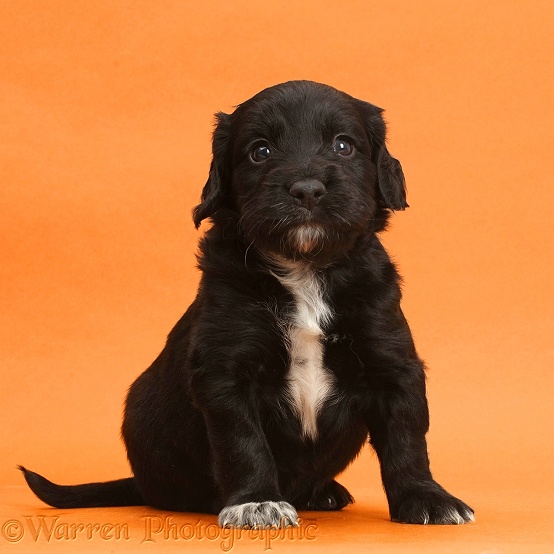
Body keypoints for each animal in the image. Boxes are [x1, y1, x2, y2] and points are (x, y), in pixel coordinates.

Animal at [20, 81, 470, 528]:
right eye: (260, 151)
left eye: (343, 146)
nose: (307, 189)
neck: (304, 270)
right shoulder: (226, 370)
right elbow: (243, 441)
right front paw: (256, 502)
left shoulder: (391, 360)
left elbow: (406, 438)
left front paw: (427, 499)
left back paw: (323, 492)